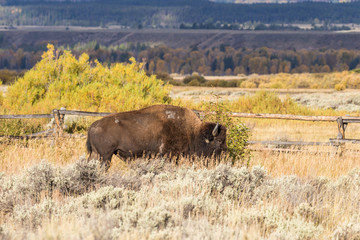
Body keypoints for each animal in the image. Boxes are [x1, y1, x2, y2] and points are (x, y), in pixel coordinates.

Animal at [86, 104, 226, 169]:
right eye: (219, 140)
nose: (224, 156)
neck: (192, 131)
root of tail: (93, 126)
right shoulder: (168, 154)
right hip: (106, 156)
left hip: (96, 154)